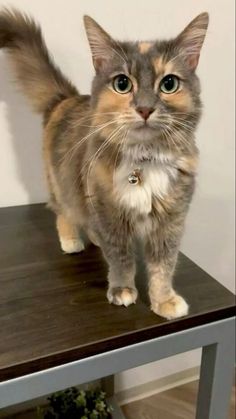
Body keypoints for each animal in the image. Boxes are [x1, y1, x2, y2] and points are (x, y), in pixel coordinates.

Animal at [0, 9, 208, 318]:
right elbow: (121, 260)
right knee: (63, 212)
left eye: (169, 84)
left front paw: (163, 301)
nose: (145, 108)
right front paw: (123, 291)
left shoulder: (170, 221)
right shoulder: (110, 213)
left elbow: (163, 266)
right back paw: (71, 241)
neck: (145, 160)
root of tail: (66, 98)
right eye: (122, 84)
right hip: (63, 185)